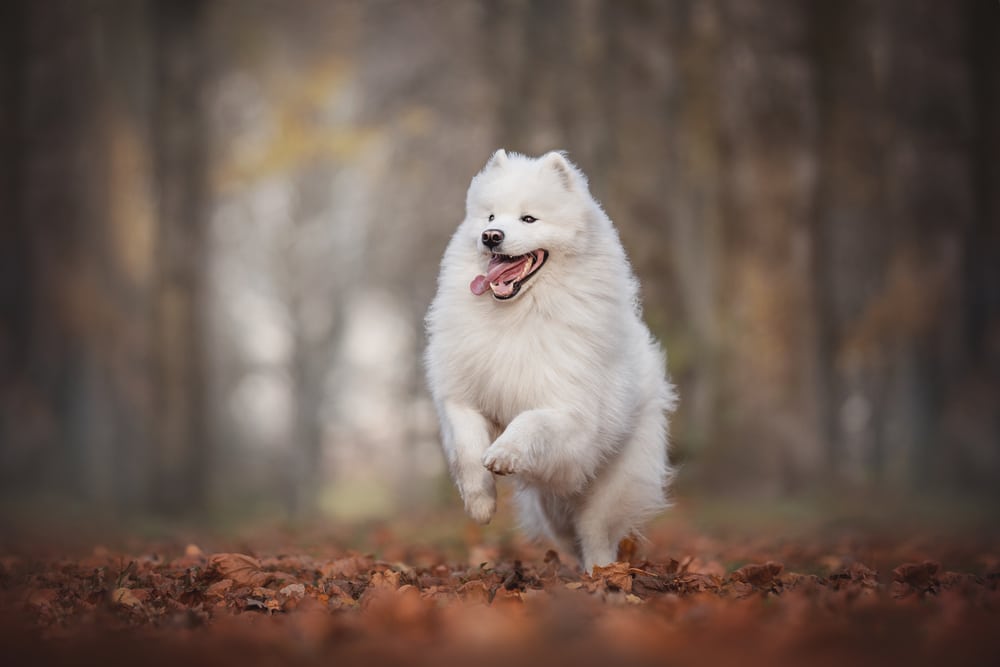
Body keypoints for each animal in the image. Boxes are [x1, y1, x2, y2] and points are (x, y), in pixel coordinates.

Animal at [422, 150, 672, 568]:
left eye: (529, 219)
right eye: (490, 217)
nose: (491, 236)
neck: (517, 315)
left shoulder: (570, 414)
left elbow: (531, 422)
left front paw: (504, 452)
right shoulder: (460, 395)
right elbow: (467, 445)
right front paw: (480, 503)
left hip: (608, 487)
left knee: (597, 534)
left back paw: (601, 574)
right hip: (552, 505)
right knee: (568, 535)